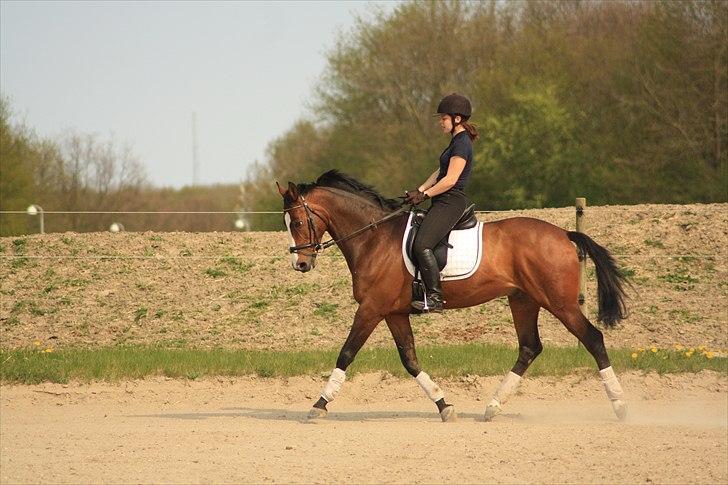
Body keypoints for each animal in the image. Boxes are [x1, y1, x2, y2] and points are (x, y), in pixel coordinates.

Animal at [276, 170, 628, 420]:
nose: (300, 264)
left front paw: (319, 404)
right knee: (530, 347)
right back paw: (492, 407)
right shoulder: (393, 312)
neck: (374, 238)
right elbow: (410, 359)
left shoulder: (372, 308)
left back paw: (620, 405)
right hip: (523, 300)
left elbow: (346, 353)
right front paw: (445, 406)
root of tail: (565, 234)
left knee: (593, 338)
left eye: (297, 221)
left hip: (559, 302)